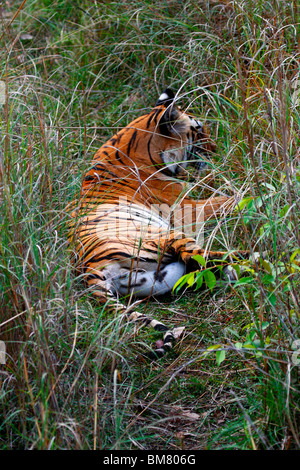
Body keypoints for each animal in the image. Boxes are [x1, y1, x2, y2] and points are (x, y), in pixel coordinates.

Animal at [68, 88, 244, 358]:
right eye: (198, 130)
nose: (216, 149)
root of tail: (89, 269)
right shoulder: (185, 206)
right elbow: (223, 199)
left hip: (160, 278)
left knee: (199, 267)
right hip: (164, 236)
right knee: (201, 256)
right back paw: (251, 260)